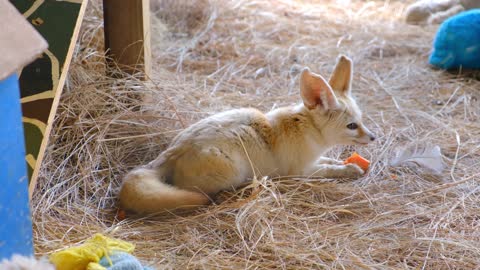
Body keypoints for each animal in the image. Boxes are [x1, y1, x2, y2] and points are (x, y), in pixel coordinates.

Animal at [120, 55, 376, 215]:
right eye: (352, 126)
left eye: (361, 120)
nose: (373, 137)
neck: (306, 128)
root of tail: (172, 152)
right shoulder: (300, 171)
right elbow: (330, 170)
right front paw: (349, 170)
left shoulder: (314, 159)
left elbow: (330, 160)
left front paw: (345, 163)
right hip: (230, 171)